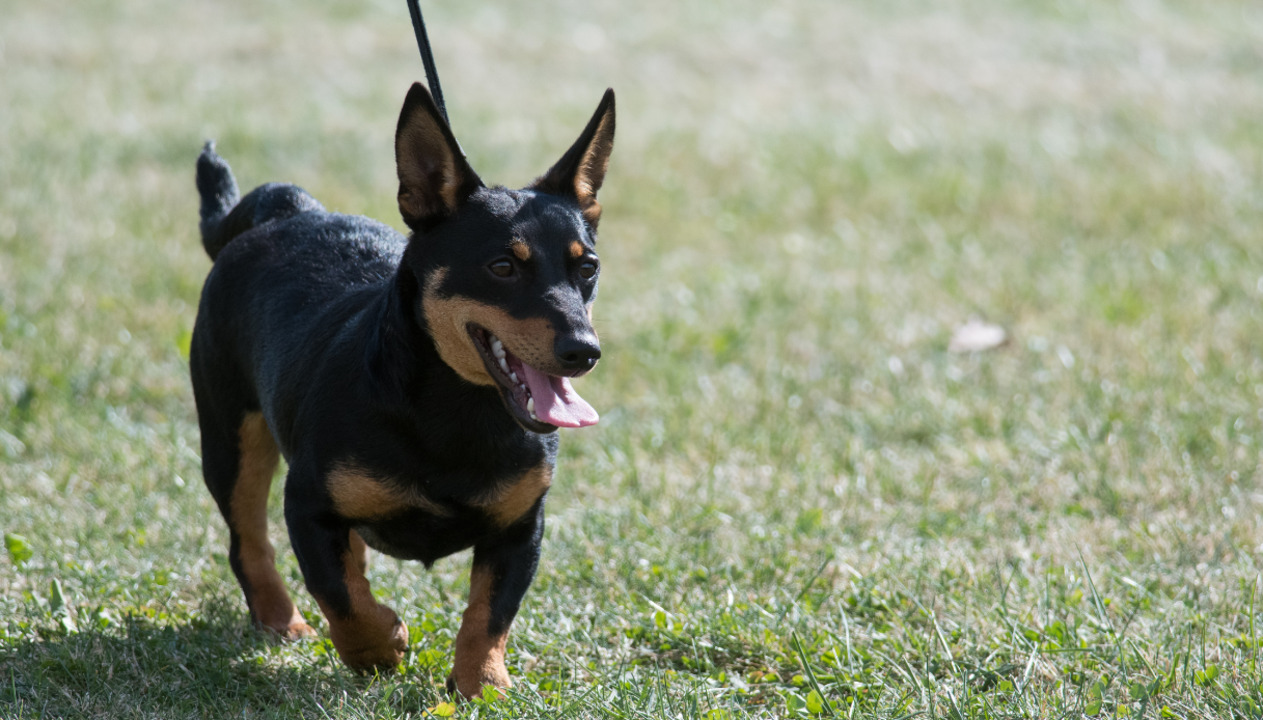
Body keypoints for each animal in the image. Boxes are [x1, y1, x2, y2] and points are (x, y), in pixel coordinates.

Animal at [188, 84, 616, 697]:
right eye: (502, 266)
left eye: (588, 268)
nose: (583, 350)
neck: (455, 410)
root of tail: (289, 209)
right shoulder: (307, 505)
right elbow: (340, 598)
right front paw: (381, 647)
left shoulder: (520, 528)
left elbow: (489, 613)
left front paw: (481, 683)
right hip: (231, 440)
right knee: (249, 541)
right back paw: (282, 621)